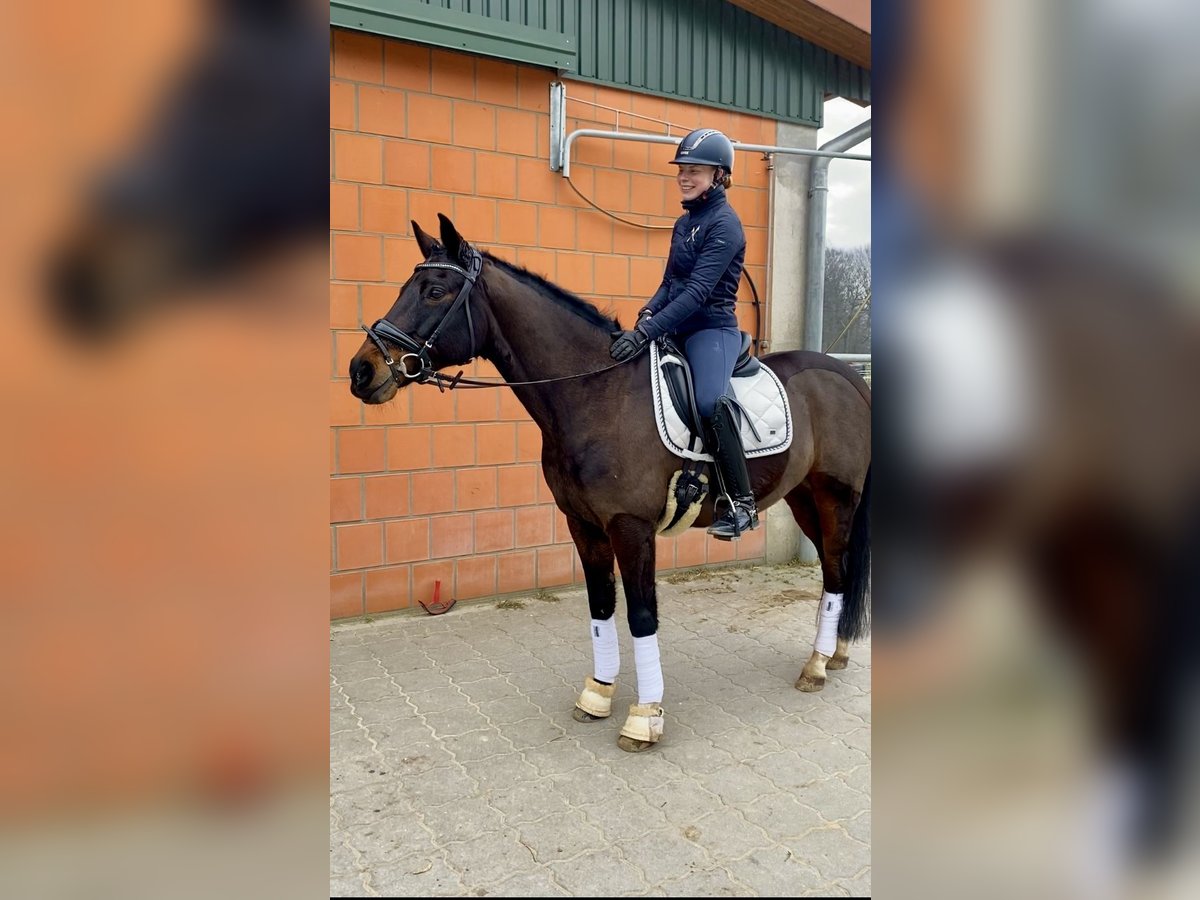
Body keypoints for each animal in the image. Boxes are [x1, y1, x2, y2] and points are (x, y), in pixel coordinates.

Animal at [350, 214, 873, 748]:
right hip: (804, 498)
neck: (595, 392)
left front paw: (644, 717)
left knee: (836, 570)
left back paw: (816, 666)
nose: (361, 371)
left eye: (435, 291)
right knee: (835, 568)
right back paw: (835, 653)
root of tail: (849, 376)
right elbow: (600, 607)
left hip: (835, 497)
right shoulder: (582, 524)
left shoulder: (630, 526)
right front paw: (598, 694)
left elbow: (642, 616)